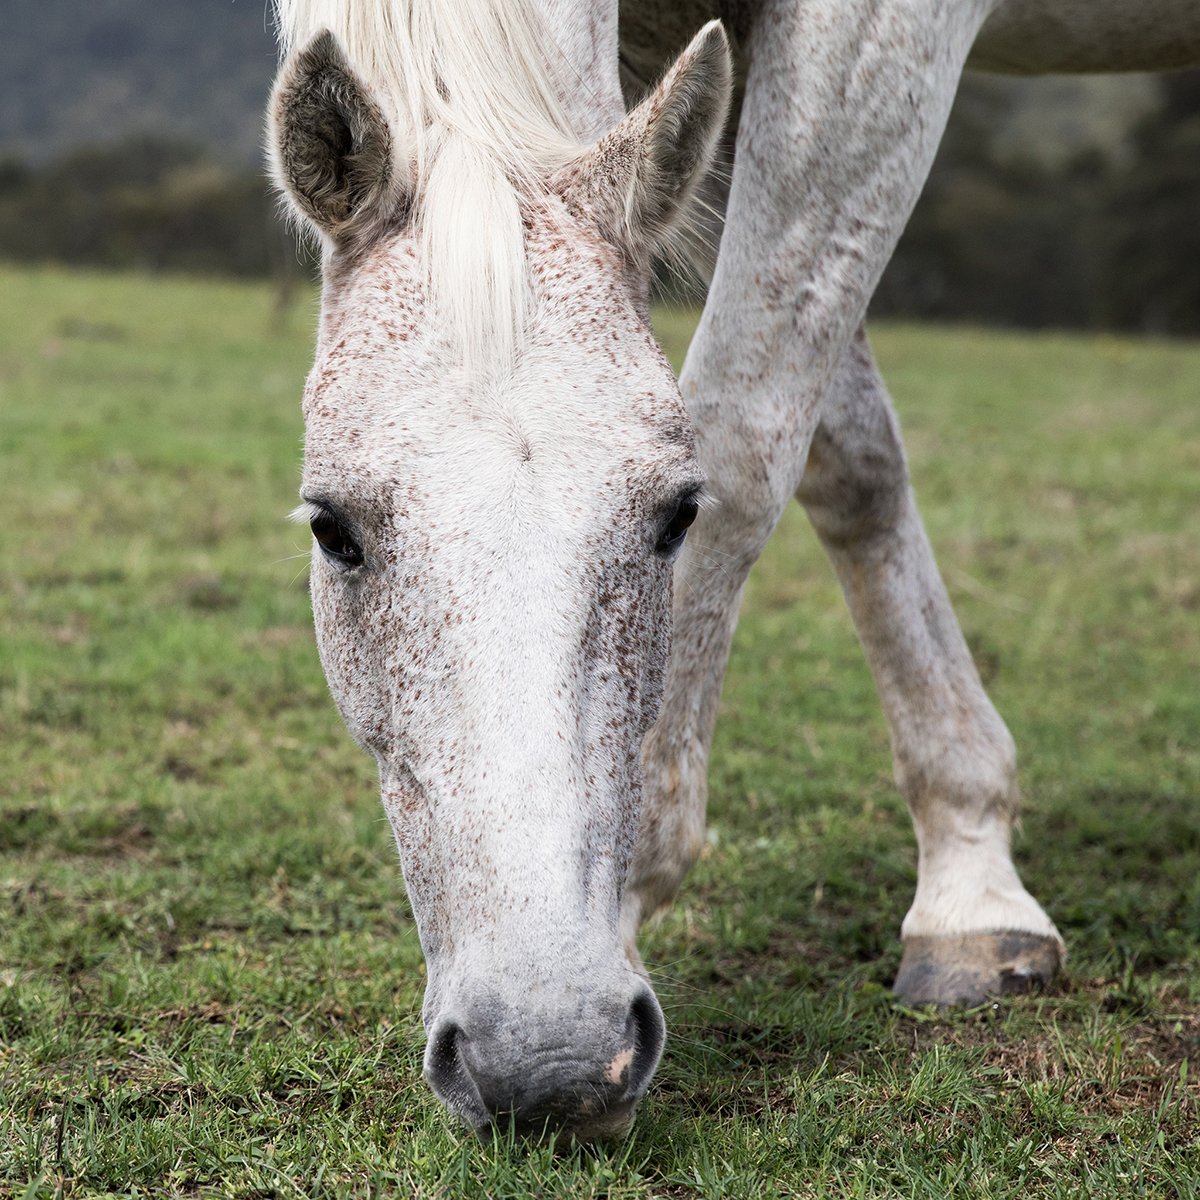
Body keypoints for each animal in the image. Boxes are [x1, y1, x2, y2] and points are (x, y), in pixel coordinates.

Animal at [267, 0, 1195, 1142]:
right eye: (332, 530)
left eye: (676, 515)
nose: (543, 1061)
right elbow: (851, 454)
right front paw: (969, 870)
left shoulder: (872, 46)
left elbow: (747, 430)